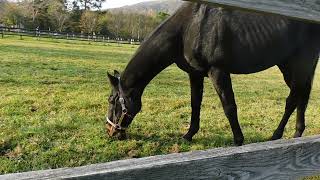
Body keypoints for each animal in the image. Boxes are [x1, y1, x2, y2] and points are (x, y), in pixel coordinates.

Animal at [105, 2, 320, 146]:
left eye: (112, 101)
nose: (110, 131)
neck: (189, 27)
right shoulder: (195, 74)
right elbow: (195, 104)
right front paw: (188, 135)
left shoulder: (218, 71)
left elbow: (229, 106)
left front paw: (238, 140)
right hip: (289, 67)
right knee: (302, 97)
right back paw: (297, 133)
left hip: (300, 64)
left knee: (292, 99)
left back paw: (277, 135)